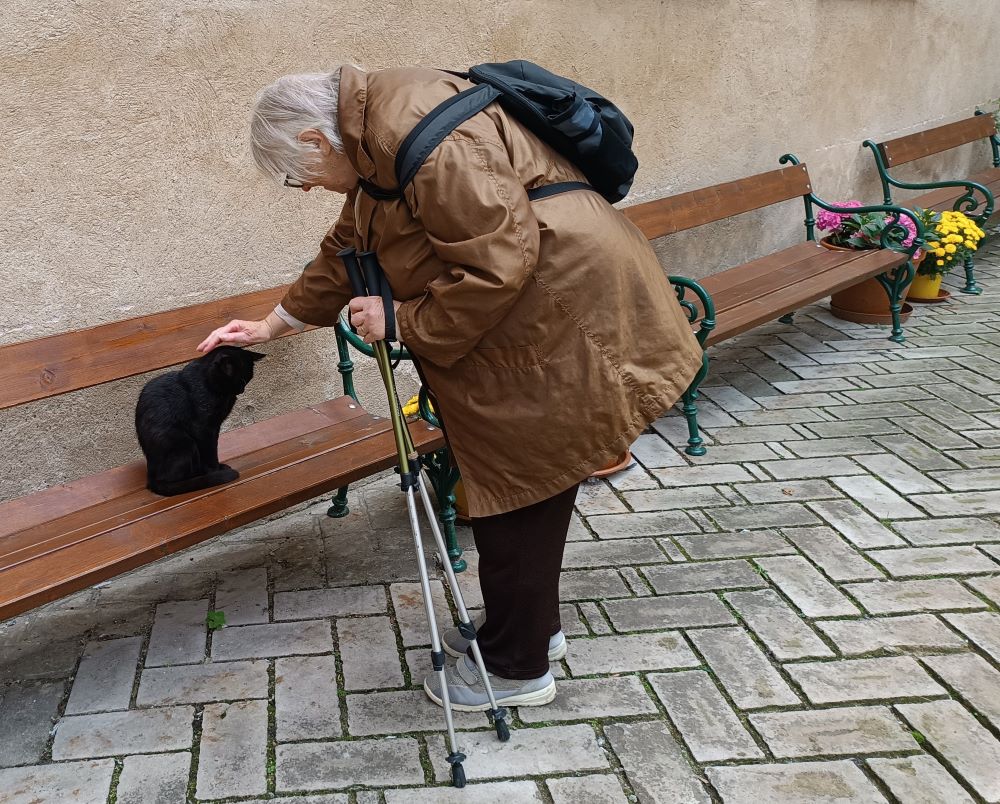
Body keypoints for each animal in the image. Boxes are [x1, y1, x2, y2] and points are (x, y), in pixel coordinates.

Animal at [136, 345, 265, 496]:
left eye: (247, 380)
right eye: (240, 380)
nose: (241, 390)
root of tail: (150, 478)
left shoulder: (215, 427)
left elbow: (214, 449)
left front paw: (217, 467)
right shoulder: (202, 429)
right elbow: (209, 451)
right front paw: (215, 471)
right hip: (184, 442)